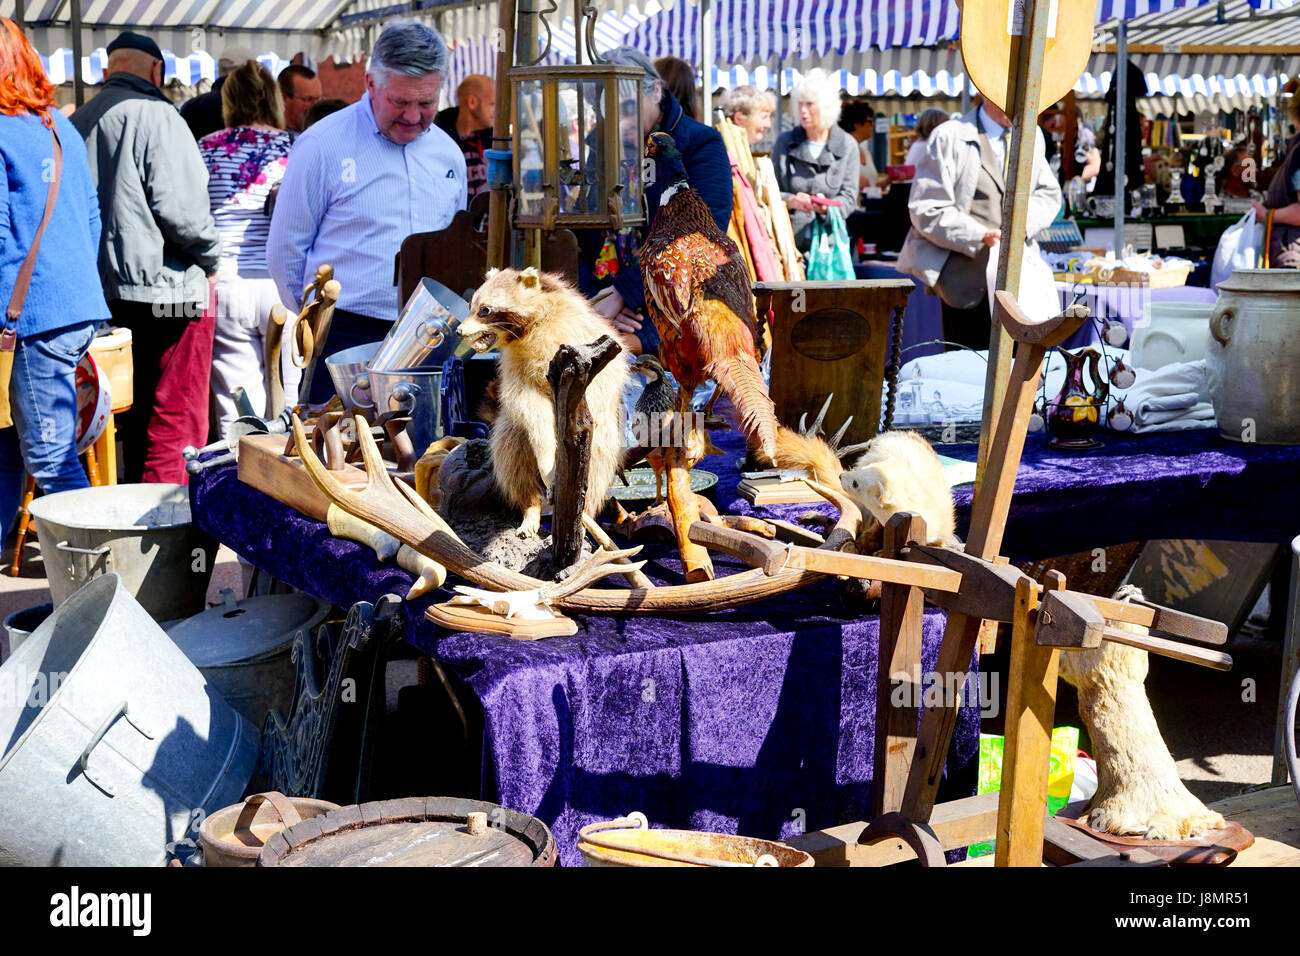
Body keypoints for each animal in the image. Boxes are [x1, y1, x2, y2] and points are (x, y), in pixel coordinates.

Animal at [460, 269, 631, 538]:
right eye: (471, 306)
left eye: (485, 310)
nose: (459, 331)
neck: (530, 328)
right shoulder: (516, 367)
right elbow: (529, 405)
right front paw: (546, 457)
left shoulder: (581, 343)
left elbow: (600, 385)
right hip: (513, 434)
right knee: (513, 451)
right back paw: (531, 508)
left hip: (604, 440)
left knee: (596, 467)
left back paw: (584, 515)